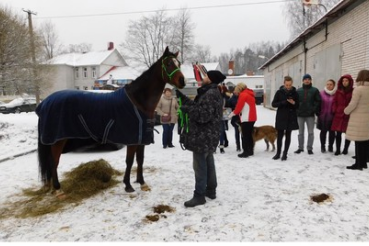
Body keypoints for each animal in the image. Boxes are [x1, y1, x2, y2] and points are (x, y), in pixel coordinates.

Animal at [36, 45, 185, 196]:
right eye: (168, 63)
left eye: (179, 63)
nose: (182, 81)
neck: (137, 101)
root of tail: (44, 103)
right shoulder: (132, 140)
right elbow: (129, 161)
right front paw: (128, 185)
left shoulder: (141, 138)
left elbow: (140, 159)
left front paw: (142, 183)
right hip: (58, 140)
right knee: (54, 161)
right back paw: (58, 189)